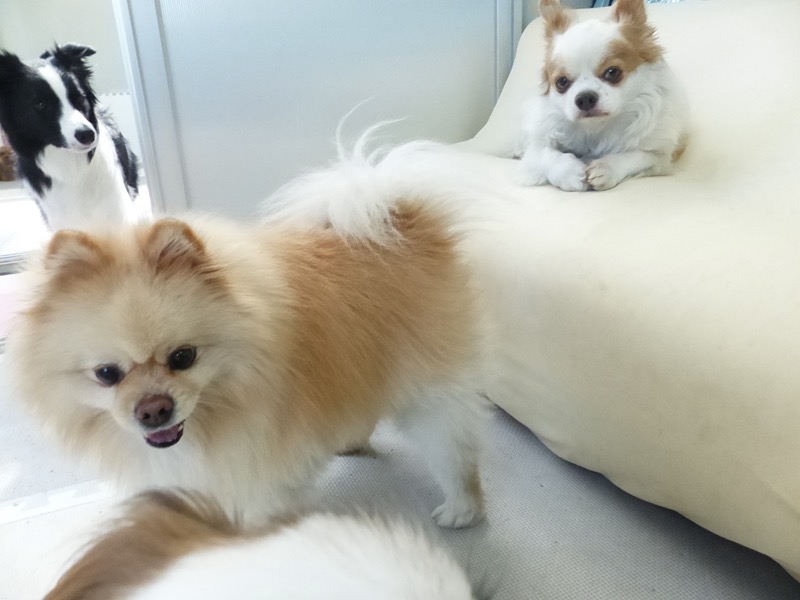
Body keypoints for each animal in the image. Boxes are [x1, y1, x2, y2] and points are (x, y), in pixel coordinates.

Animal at [6, 142, 488, 529]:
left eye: (184, 357)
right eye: (107, 373)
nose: (154, 410)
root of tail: (402, 218)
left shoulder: (264, 472)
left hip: (430, 392)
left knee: (455, 451)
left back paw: (462, 509)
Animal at [518, 0, 689, 192]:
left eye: (613, 72)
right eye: (561, 82)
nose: (585, 97)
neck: (597, 128)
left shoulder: (660, 157)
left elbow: (636, 155)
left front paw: (607, 168)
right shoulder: (535, 148)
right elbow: (545, 154)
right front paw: (569, 171)